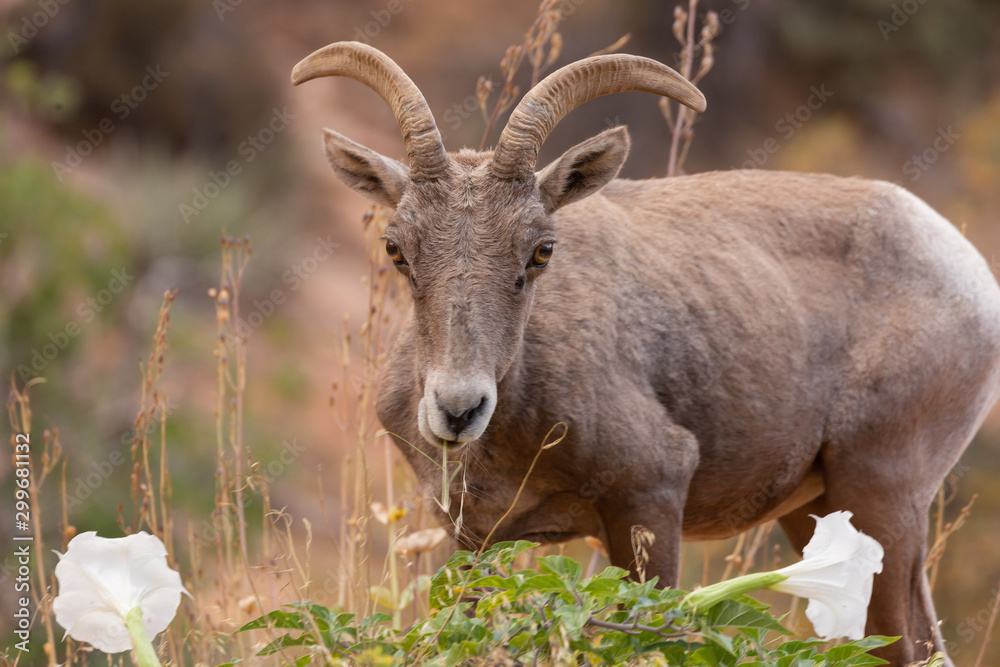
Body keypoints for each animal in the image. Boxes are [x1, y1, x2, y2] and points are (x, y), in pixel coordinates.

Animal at [292, 43, 1000, 667]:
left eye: (542, 249)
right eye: (396, 249)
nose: (459, 410)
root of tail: (966, 269)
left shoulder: (650, 501)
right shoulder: (472, 538)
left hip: (884, 494)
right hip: (818, 511)